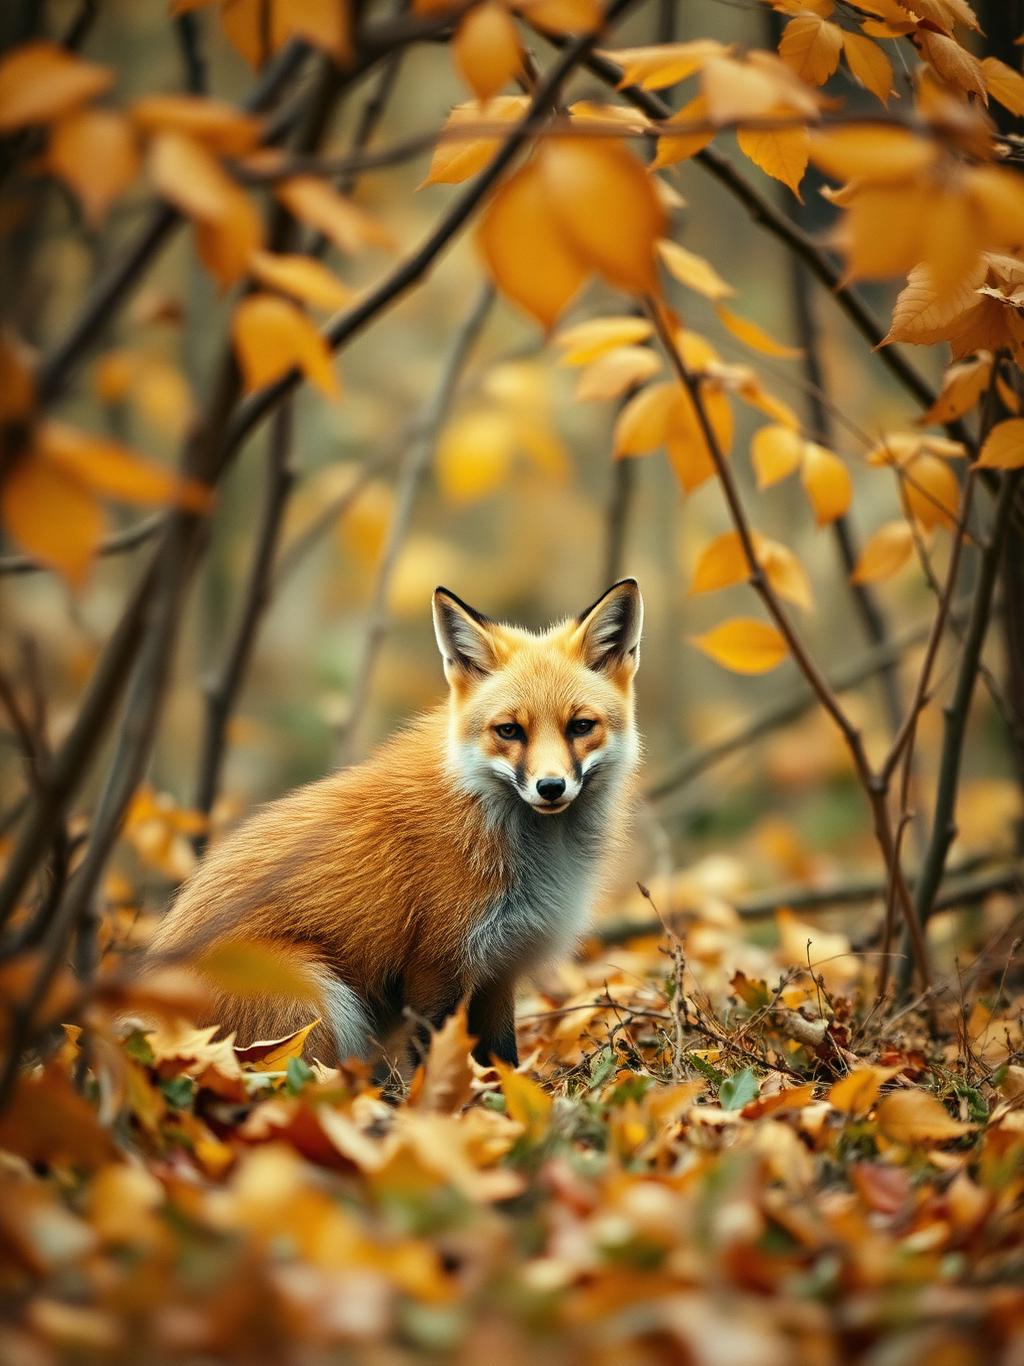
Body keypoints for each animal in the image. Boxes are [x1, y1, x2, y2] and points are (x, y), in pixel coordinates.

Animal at [148, 577, 643, 1072]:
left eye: (580, 727)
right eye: (509, 731)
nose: (551, 787)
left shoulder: (500, 967)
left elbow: (501, 1058)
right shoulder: (435, 967)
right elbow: (435, 1058)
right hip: (316, 996)